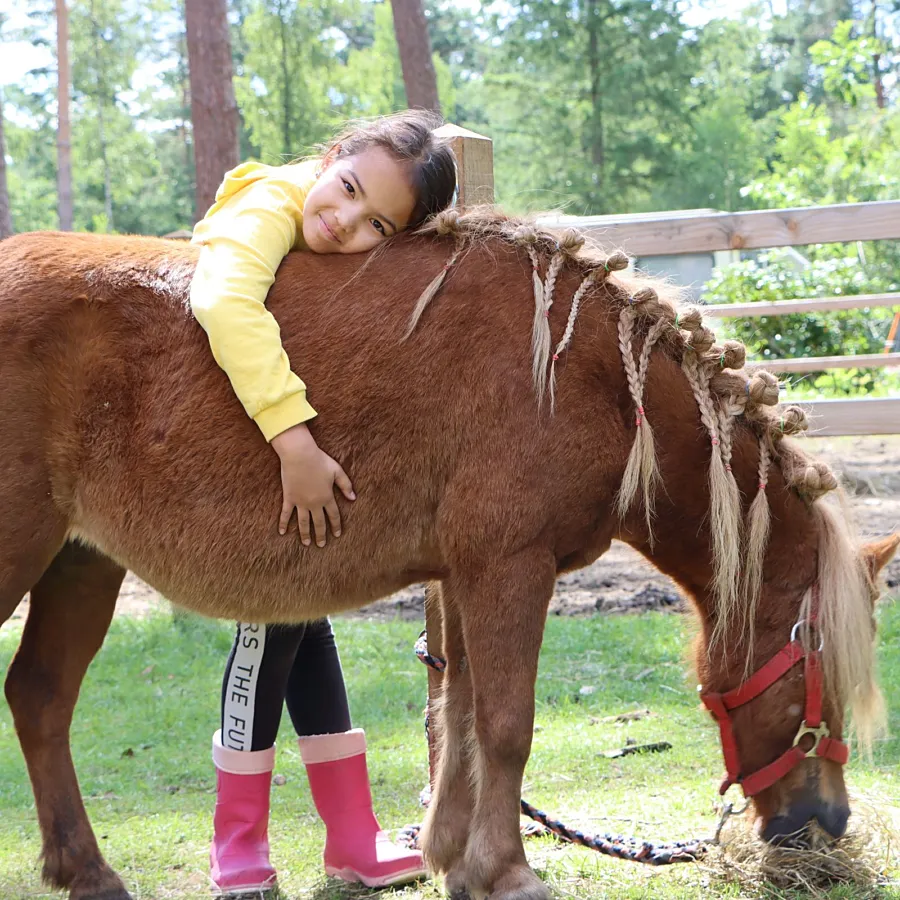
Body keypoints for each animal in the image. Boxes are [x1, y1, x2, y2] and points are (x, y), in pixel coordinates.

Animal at [0, 216, 896, 900]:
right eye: (820, 668)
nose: (828, 824)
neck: (584, 371)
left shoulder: (466, 575)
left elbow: (459, 711)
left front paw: (455, 857)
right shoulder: (509, 567)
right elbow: (505, 725)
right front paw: (508, 871)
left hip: (81, 566)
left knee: (39, 698)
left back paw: (88, 873)